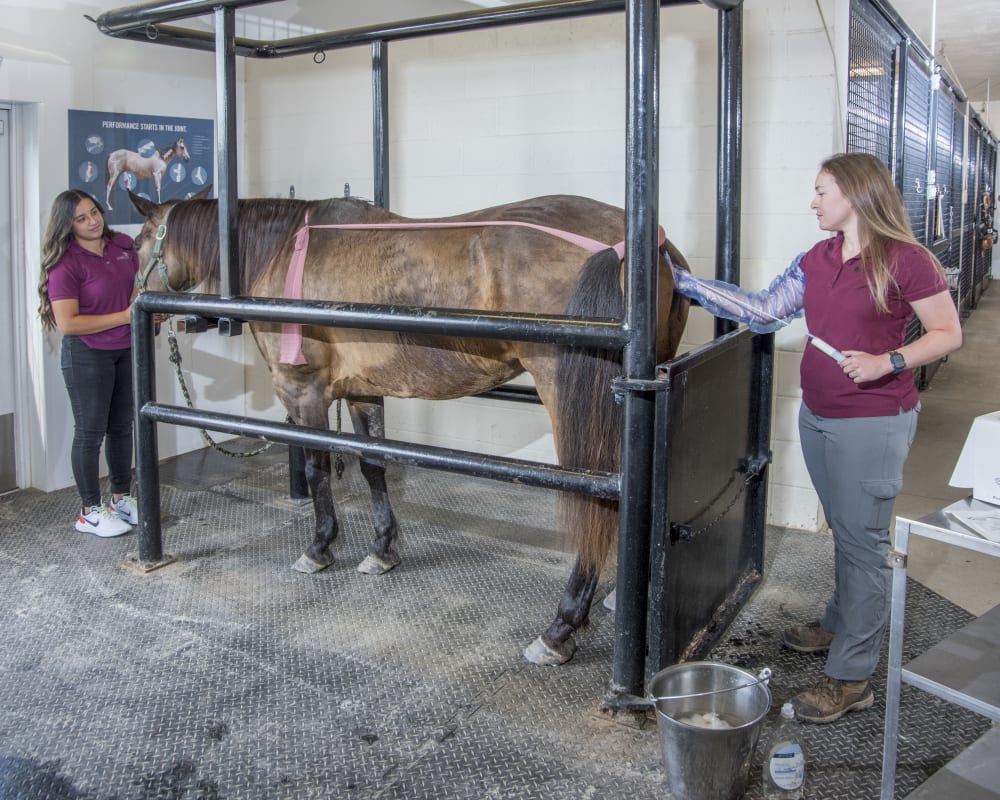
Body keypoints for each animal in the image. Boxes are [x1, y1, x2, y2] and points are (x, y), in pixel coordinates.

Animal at [127, 191, 688, 664]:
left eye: (137, 243)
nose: (135, 309)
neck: (284, 251)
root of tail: (641, 245)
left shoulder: (303, 390)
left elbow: (316, 469)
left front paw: (319, 548)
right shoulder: (362, 391)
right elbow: (373, 466)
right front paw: (381, 550)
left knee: (601, 497)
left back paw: (560, 628)